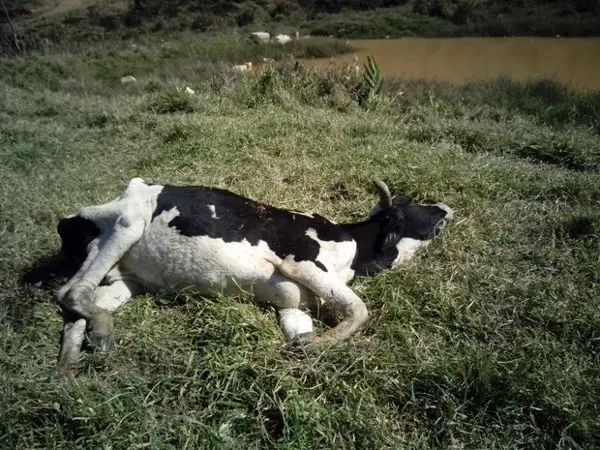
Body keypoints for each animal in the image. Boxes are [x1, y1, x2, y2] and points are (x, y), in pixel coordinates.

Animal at [56, 178, 452, 378]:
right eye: (413, 206)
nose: (445, 206)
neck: (353, 247)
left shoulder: (295, 304)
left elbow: (302, 334)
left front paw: (306, 347)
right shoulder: (298, 262)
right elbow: (359, 309)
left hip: (126, 280)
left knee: (77, 309)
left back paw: (69, 370)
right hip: (128, 222)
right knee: (70, 292)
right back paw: (99, 334)